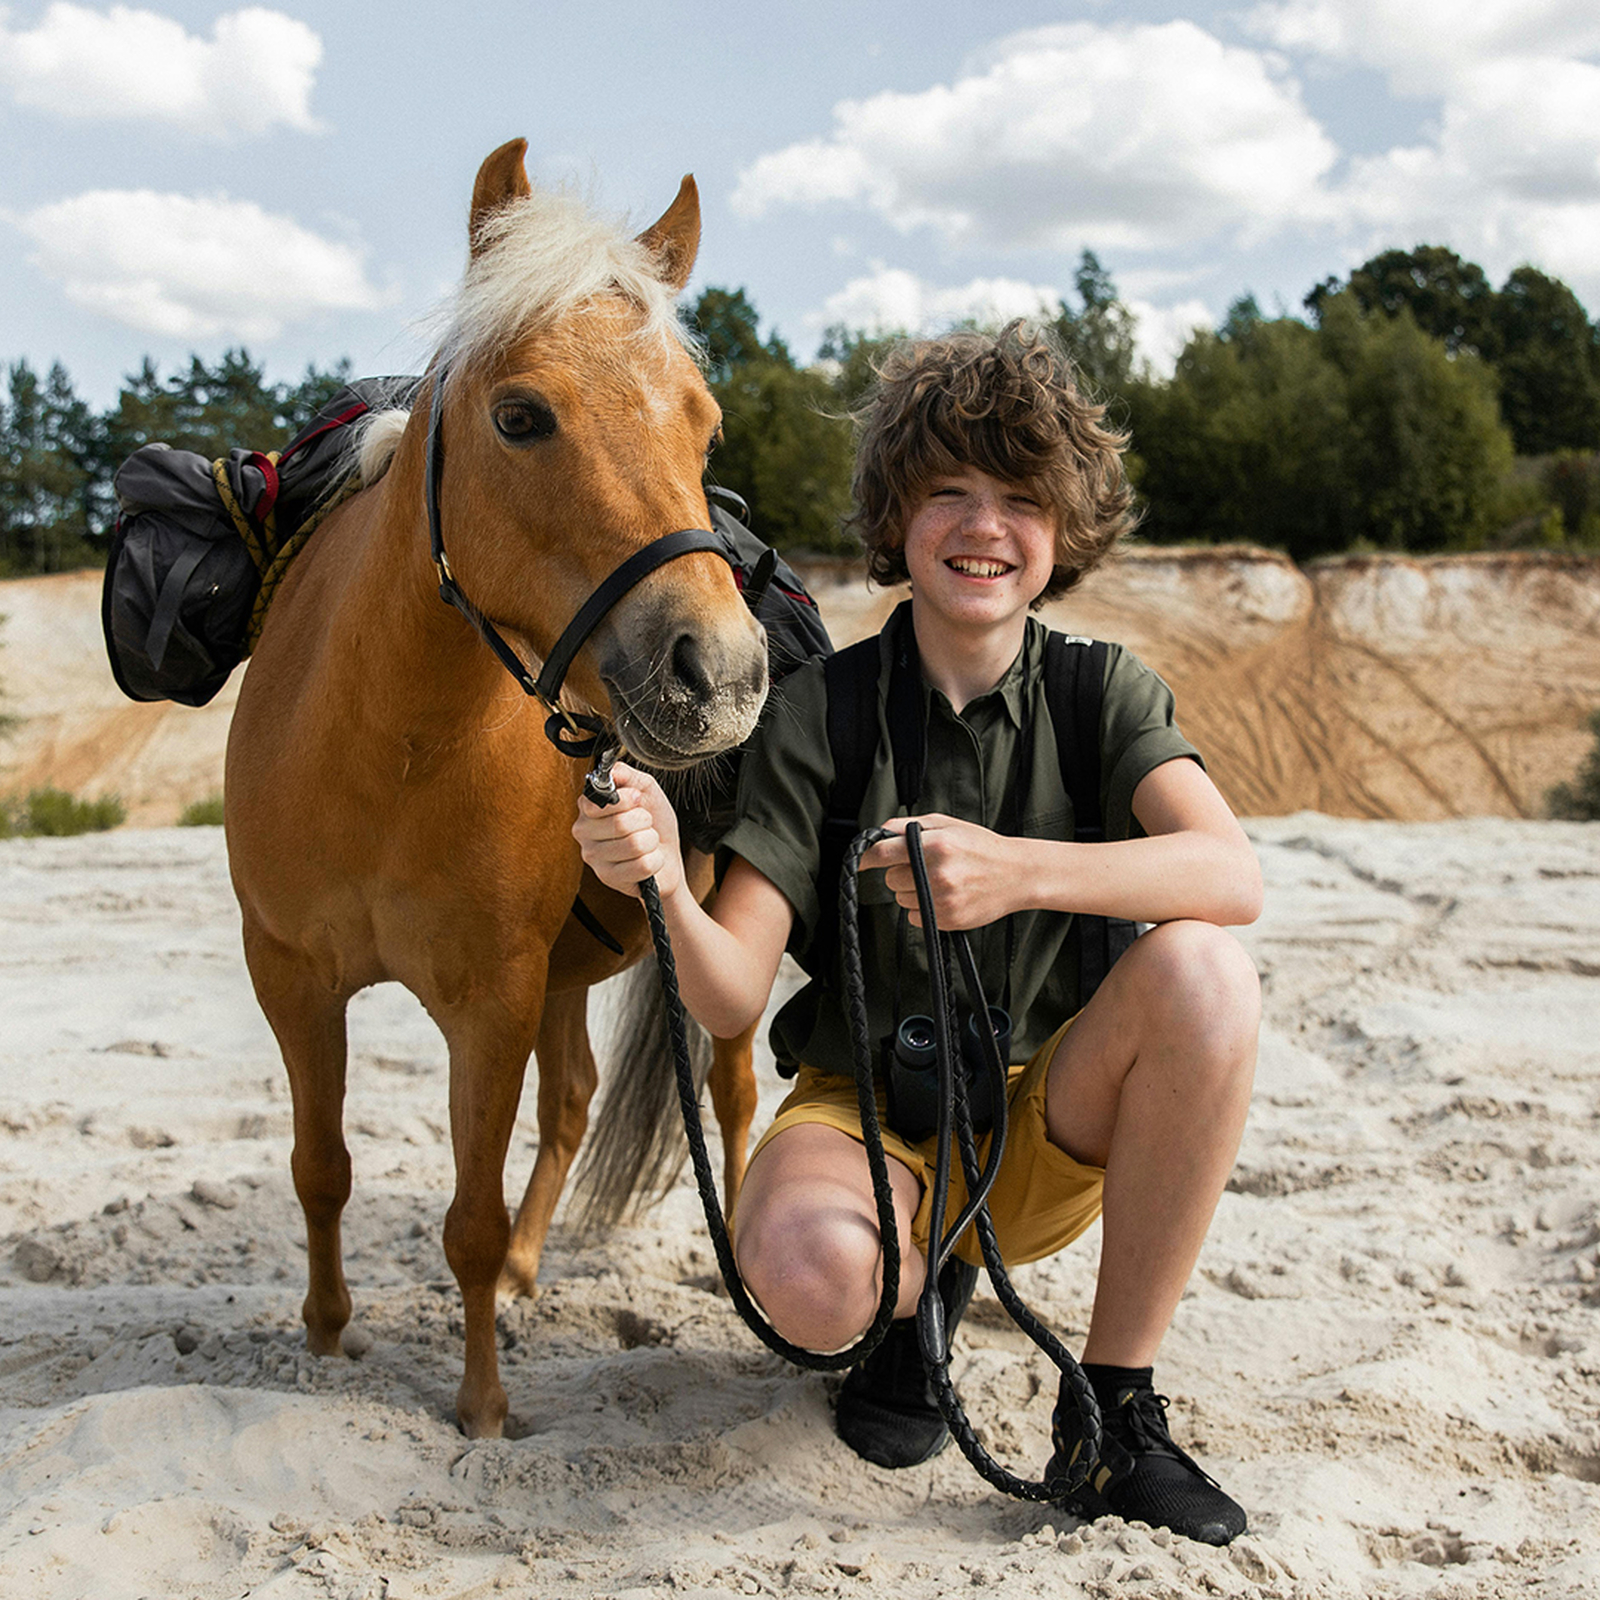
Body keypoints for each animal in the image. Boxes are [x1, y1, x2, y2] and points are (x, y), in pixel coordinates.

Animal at [224, 139, 767, 1439]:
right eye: (521, 416)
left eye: (704, 424)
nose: (720, 673)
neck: (386, 750)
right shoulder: (291, 976)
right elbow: (321, 1167)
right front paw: (327, 1336)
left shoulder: (490, 999)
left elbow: (463, 1218)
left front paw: (479, 1410)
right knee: (571, 1100)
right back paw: (530, 1264)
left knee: (730, 1095)